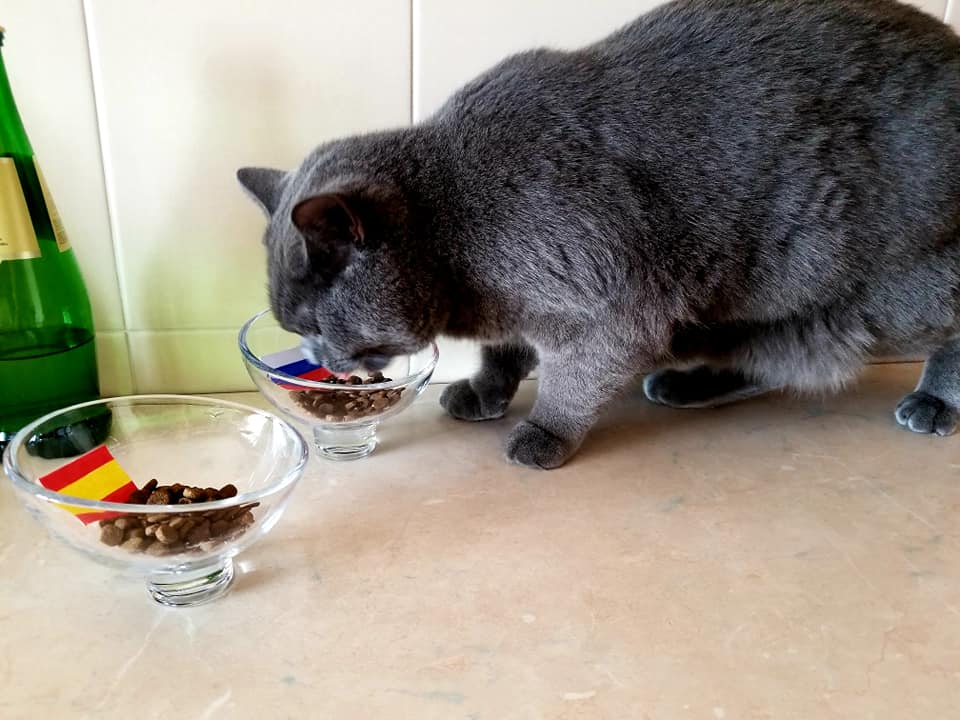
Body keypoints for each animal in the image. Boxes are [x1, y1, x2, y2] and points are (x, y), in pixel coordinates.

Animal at [238, 0, 960, 469]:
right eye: (298, 329)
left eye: (317, 326)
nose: (323, 361)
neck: (456, 236)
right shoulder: (520, 309)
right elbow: (503, 353)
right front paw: (486, 393)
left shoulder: (610, 306)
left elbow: (575, 377)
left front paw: (544, 433)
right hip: (741, 306)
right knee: (775, 359)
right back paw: (691, 387)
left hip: (880, 283)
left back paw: (933, 401)